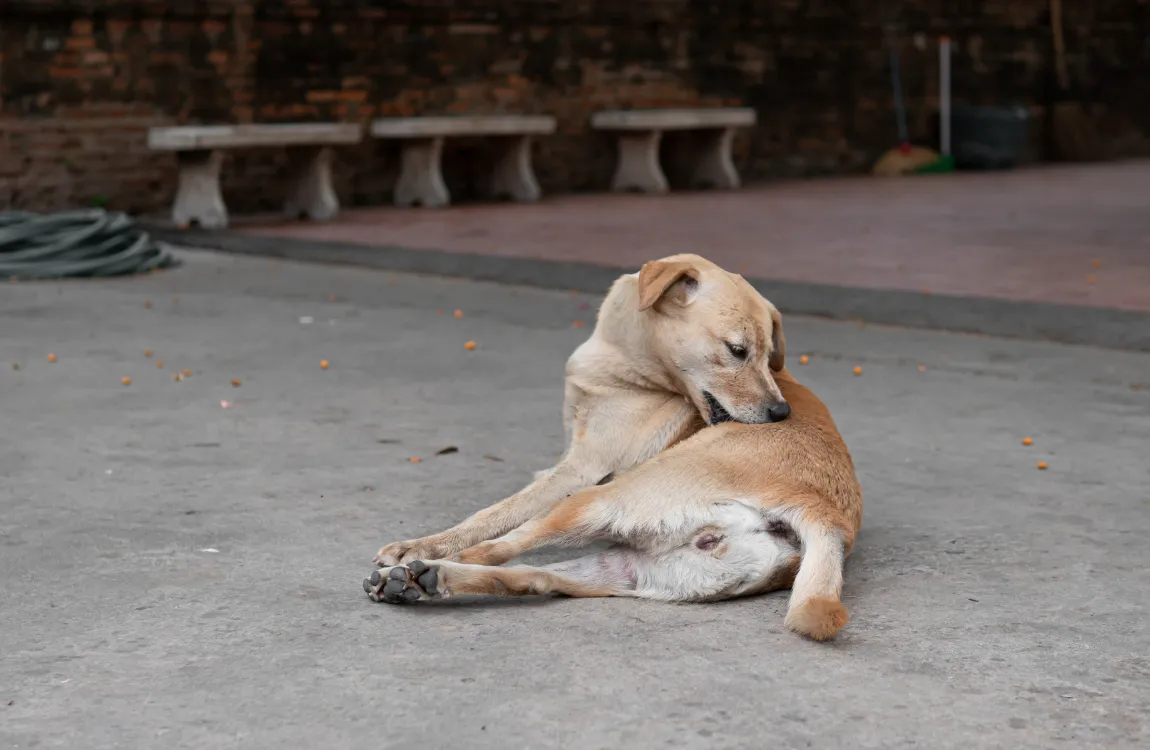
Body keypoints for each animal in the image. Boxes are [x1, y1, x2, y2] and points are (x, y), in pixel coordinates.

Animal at [363, 253, 860, 639]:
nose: (780, 413)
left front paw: (422, 543)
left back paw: (423, 563)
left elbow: (494, 515)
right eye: (738, 351)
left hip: (597, 501)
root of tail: (820, 510)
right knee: (532, 578)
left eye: (767, 353)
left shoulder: (581, 469)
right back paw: (423, 581)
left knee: (497, 549)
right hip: (626, 566)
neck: (632, 370)